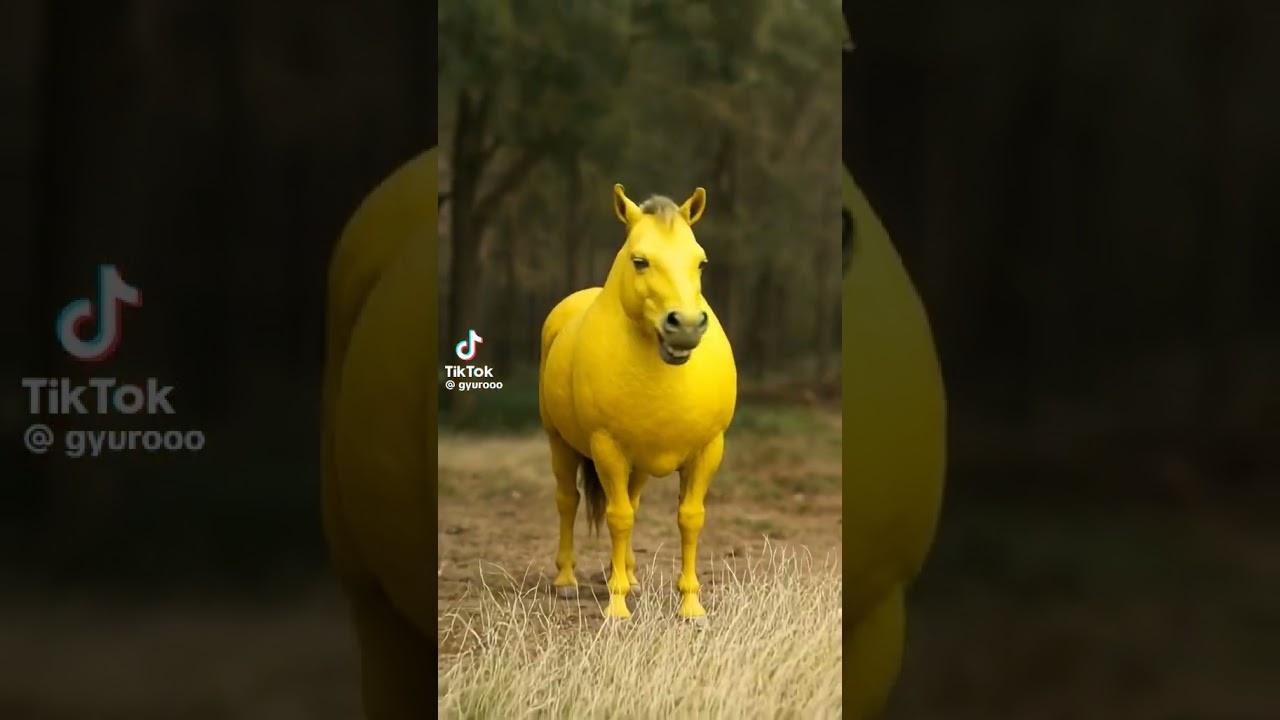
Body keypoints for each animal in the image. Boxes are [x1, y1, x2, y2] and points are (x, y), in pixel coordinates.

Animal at [538, 184, 737, 620]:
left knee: (631, 501)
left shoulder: (708, 450)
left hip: (640, 466)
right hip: (559, 442)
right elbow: (618, 518)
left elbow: (689, 518)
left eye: (700, 262)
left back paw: (630, 577)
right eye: (640, 261)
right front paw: (616, 606)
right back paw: (566, 580)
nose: (685, 326)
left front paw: (690, 605)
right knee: (567, 501)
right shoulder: (607, 448)